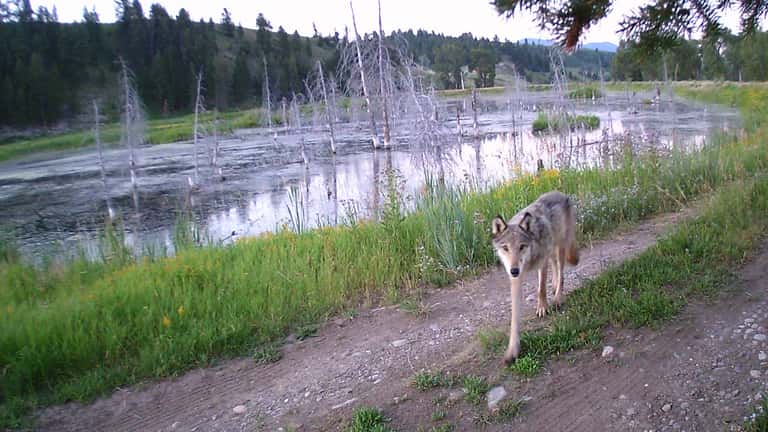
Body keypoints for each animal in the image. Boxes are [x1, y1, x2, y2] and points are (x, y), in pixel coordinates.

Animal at [490, 191, 580, 365]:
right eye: (505, 248)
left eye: (521, 247)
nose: (514, 270)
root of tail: (560, 193)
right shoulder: (516, 280)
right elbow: (514, 318)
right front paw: (513, 350)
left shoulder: (541, 263)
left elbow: (541, 289)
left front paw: (543, 308)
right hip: (552, 250)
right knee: (555, 267)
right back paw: (554, 285)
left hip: (560, 247)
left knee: (561, 272)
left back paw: (558, 297)